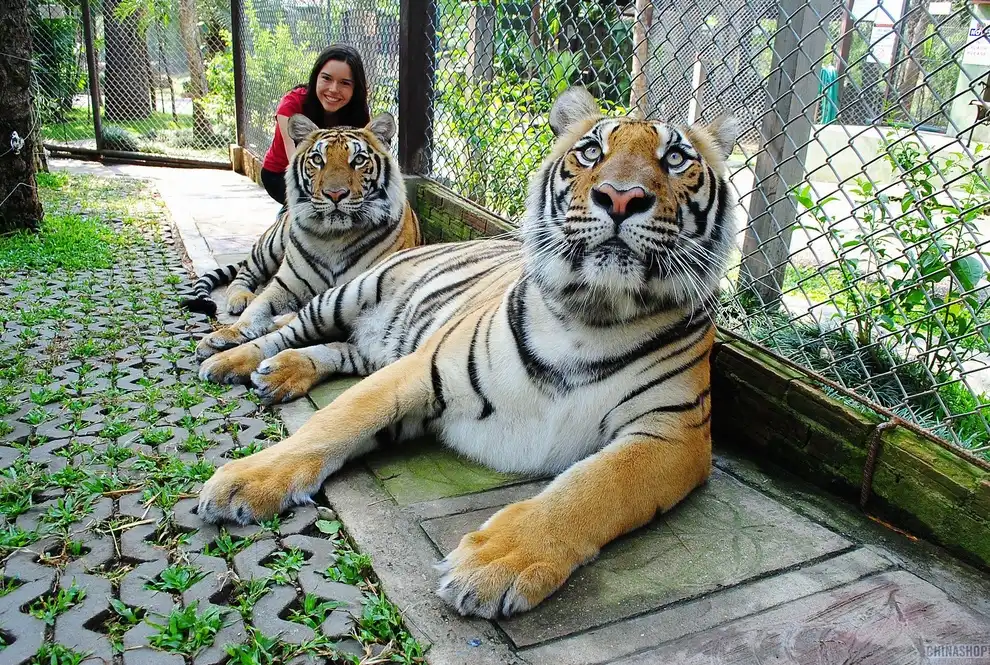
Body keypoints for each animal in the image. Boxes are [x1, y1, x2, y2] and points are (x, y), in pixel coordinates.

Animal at [190, 112, 421, 361]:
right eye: (318, 160)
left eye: (359, 160)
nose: (335, 194)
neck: (335, 237)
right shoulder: (285, 286)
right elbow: (256, 311)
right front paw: (223, 337)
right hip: (270, 245)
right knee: (245, 273)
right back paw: (240, 298)